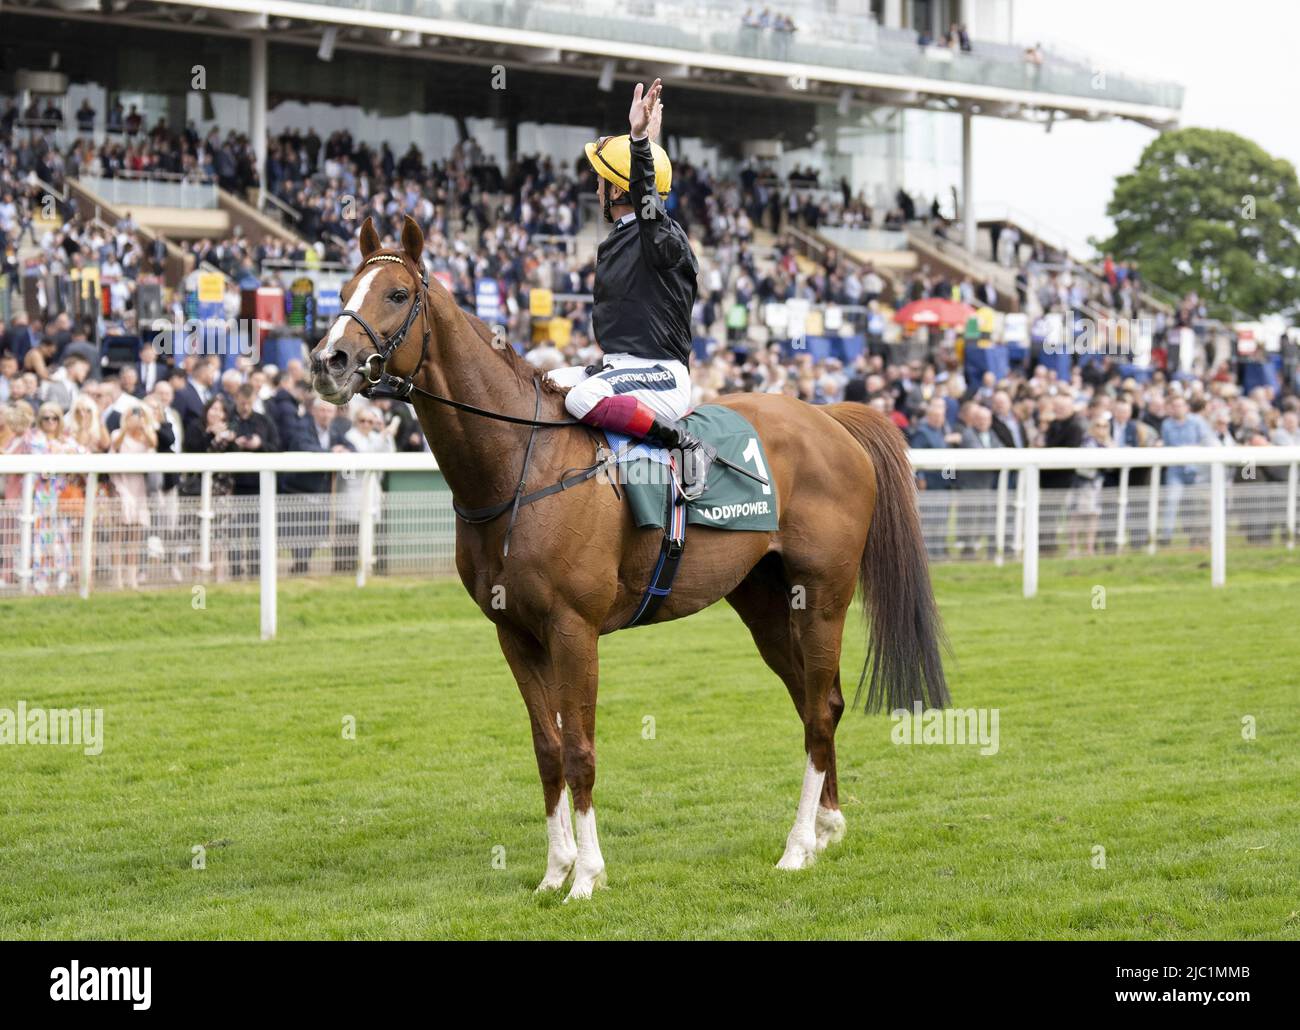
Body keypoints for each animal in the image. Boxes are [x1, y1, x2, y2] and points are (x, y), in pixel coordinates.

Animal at [313, 217, 946, 899]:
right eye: (343, 289)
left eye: (398, 294)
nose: (329, 361)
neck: (522, 465)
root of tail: (828, 417)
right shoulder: (514, 634)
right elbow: (547, 748)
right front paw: (554, 870)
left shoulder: (573, 629)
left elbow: (580, 750)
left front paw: (586, 877)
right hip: (764, 601)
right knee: (816, 701)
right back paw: (827, 827)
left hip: (823, 595)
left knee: (822, 710)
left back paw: (798, 845)